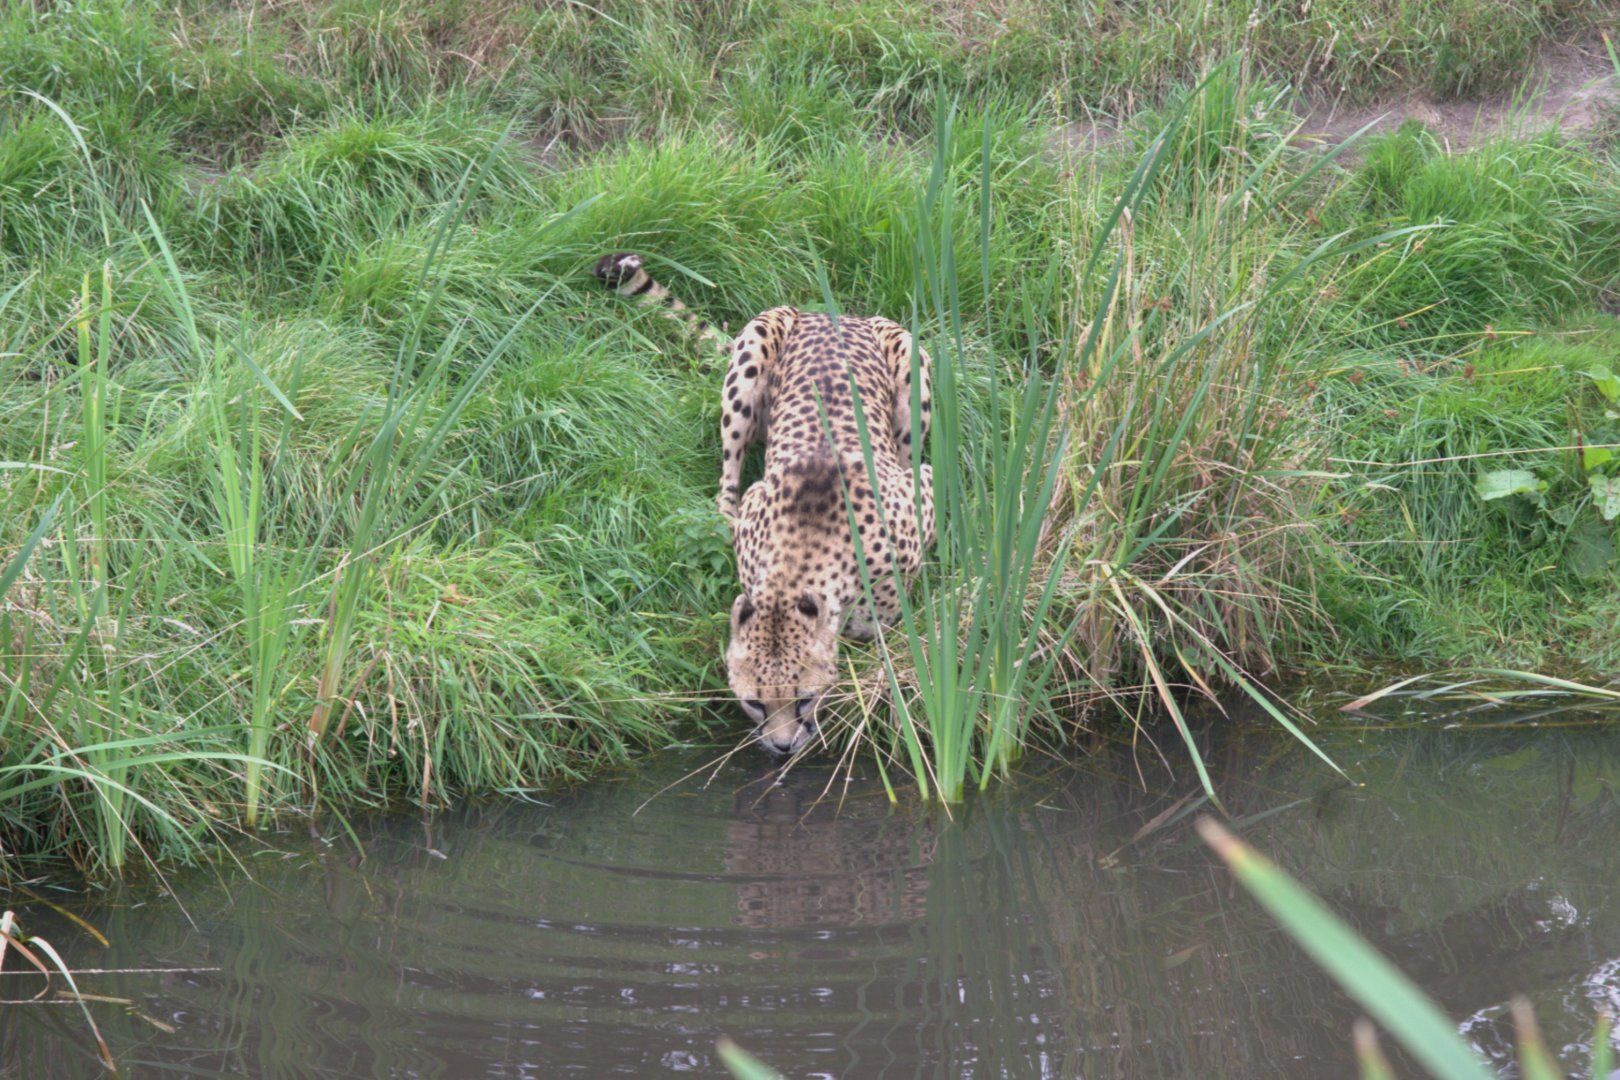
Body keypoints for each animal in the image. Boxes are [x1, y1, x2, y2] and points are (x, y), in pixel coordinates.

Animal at [595, 252, 934, 755]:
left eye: (804, 700)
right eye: (754, 703)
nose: (782, 747)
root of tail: (830, 313)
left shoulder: (919, 493)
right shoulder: (757, 504)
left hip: (912, 366)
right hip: (751, 356)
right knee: (728, 471)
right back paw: (720, 515)